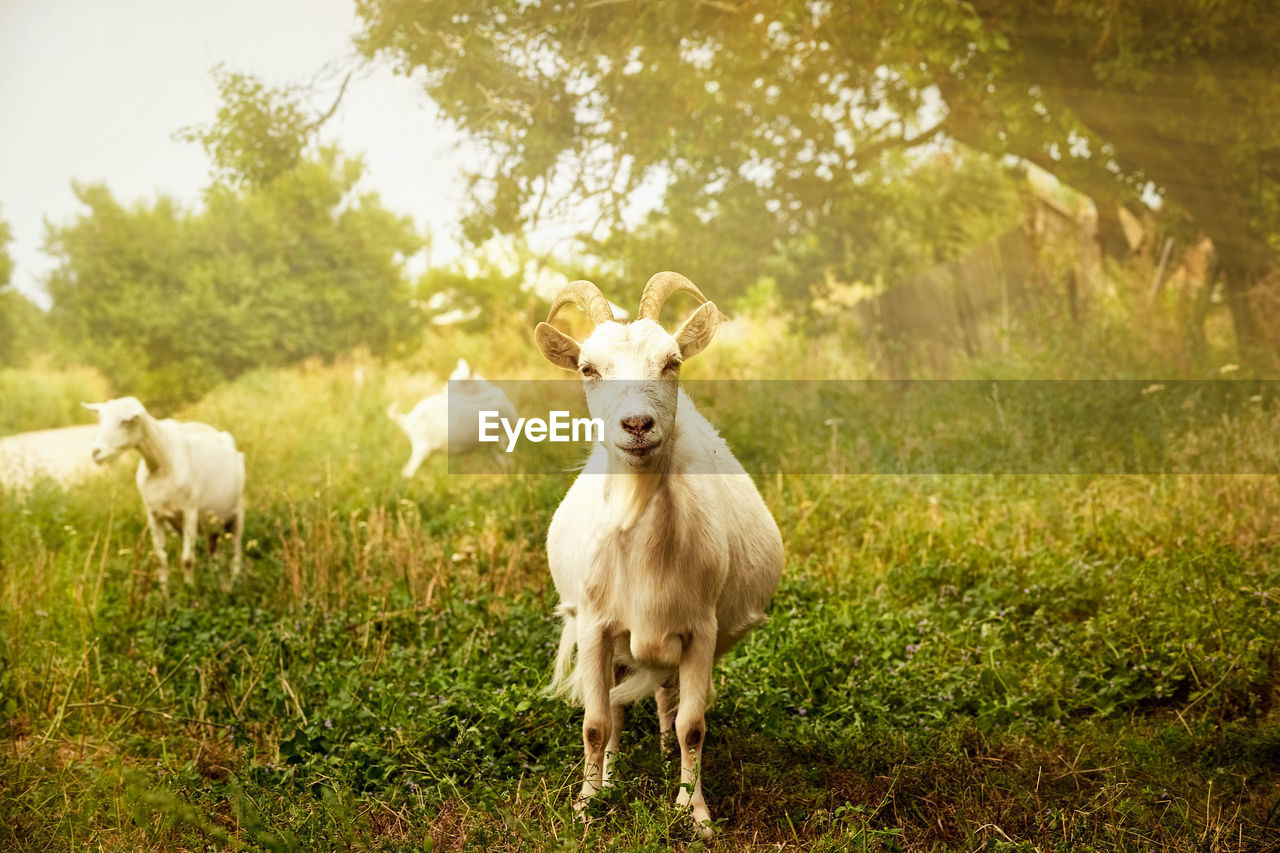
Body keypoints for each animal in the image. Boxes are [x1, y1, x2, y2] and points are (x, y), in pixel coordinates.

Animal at [85, 397, 247, 584]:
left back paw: (236, 578)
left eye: (126, 422)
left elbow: (187, 559)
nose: (96, 452)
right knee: (215, 552)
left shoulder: (190, 511)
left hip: (237, 511)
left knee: (237, 549)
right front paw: (165, 591)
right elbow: (160, 558)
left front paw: (189, 588)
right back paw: (219, 581)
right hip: (212, 523)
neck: (162, 461)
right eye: (101, 419)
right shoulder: (154, 514)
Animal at [384, 356, 519, 473]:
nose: (443, 392)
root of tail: (408, 418)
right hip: (421, 447)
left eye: (461, 382)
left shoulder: (494, 443)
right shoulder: (503, 437)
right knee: (407, 472)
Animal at [535, 272, 783, 835]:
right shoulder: (595, 626)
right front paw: (587, 805)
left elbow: (694, 725)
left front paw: (695, 814)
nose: (637, 424)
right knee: (616, 710)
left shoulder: (699, 630)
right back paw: (613, 775)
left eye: (672, 362)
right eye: (588, 368)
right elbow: (596, 723)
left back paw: (668, 754)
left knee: (668, 698)